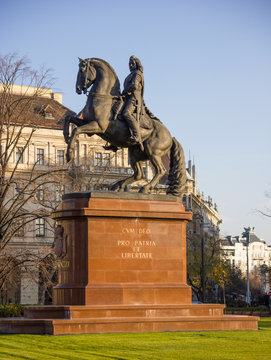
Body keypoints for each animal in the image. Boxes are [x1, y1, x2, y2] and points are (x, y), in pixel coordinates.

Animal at [64, 57, 187, 195]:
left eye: (81, 70)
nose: (78, 88)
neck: (103, 98)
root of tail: (171, 137)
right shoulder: (87, 123)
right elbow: (69, 120)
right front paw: (66, 137)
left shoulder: (98, 126)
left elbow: (76, 130)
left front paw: (69, 154)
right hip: (135, 153)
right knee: (139, 174)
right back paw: (117, 185)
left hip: (153, 151)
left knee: (161, 171)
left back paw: (145, 188)